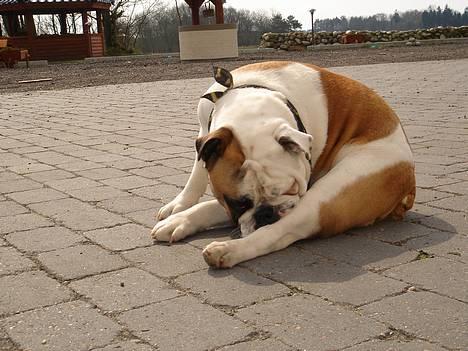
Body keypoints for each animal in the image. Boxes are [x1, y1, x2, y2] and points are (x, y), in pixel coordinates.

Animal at [152, 62, 414, 268]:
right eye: (238, 203)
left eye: (290, 188)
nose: (266, 213)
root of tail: (409, 181)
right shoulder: (205, 132)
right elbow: (197, 175)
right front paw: (180, 206)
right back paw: (179, 222)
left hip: (336, 188)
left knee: (282, 232)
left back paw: (227, 250)